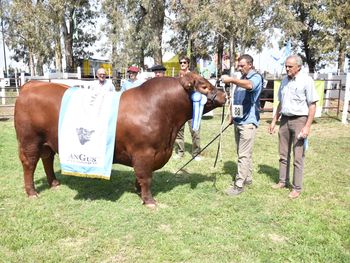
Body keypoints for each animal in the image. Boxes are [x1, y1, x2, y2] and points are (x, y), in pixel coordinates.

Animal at [14, 72, 227, 208]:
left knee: (47, 159)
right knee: (29, 163)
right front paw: (149, 201)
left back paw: (54, 183)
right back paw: (32, 192)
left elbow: (141, 176)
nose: (224, 95)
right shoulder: (144, 153)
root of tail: (32, 84)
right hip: (30, 140)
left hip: (47, 141)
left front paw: (138, 191)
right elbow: (146, 177)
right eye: (204, 86)